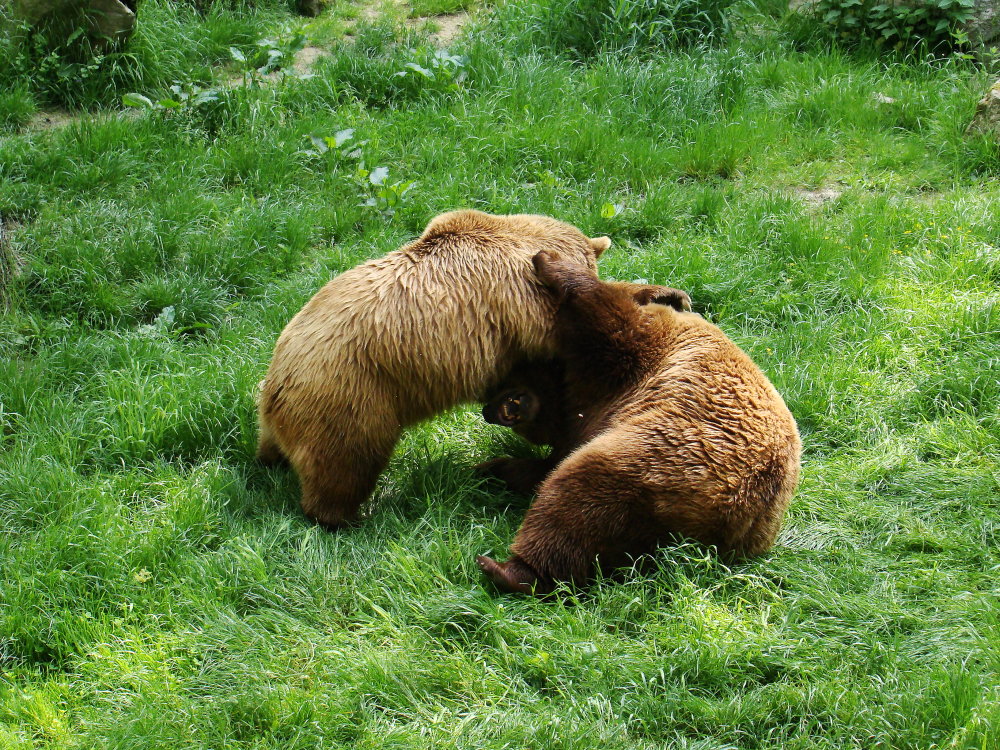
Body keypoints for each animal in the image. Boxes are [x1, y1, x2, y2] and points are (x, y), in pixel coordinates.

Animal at [478, 251, 804, 592]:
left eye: (501, 376)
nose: (487, 410)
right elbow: (545, 466)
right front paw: (494, 467)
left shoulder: (631, 356)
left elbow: (605, 316)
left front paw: (549, 261)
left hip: (668, 456)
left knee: (581, 497)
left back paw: (509, 569)